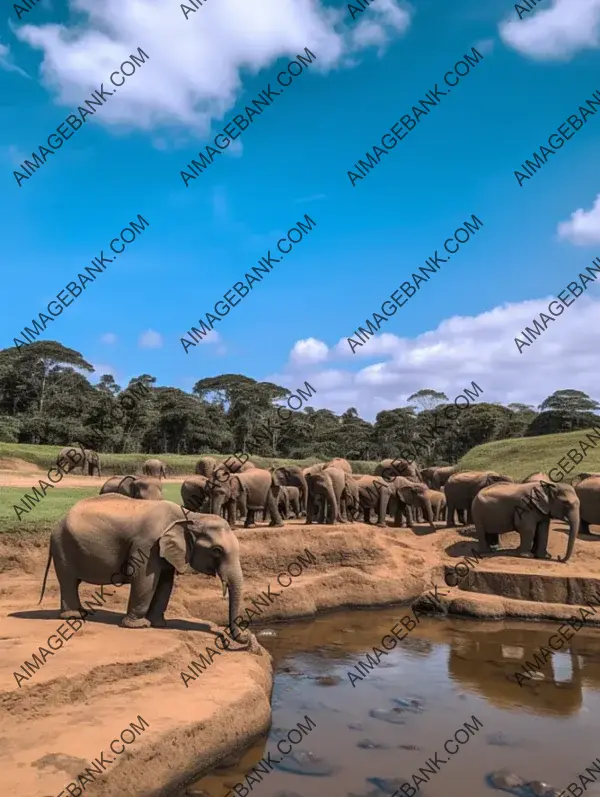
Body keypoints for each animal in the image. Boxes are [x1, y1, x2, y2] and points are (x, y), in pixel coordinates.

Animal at [38, 498, 244, 636]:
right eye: (217, 551)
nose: (241, 638)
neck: (190, 516)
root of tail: (57, 522)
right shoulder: (147, 544)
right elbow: (145, 579)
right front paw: (139, 625)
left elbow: (165, 583)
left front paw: (158, 624)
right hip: (63, 546)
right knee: (69, 580)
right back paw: (74, 616)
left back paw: (81, 613)